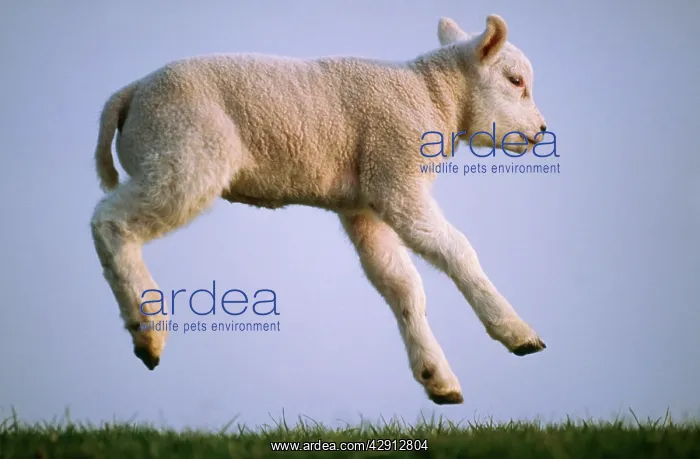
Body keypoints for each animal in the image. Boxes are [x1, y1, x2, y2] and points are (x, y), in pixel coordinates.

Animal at [91, 14, 548, 405]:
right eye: (515, 81)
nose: (542, 132)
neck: (433, 96)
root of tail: (130, 93)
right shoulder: (396, 170)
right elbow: (457, 249)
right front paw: (517, 333)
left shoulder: (364, 205)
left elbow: (402, 285)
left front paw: (437, 377)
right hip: (185, 151)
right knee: (109, 222)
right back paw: (147, 331)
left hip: (168, 151)